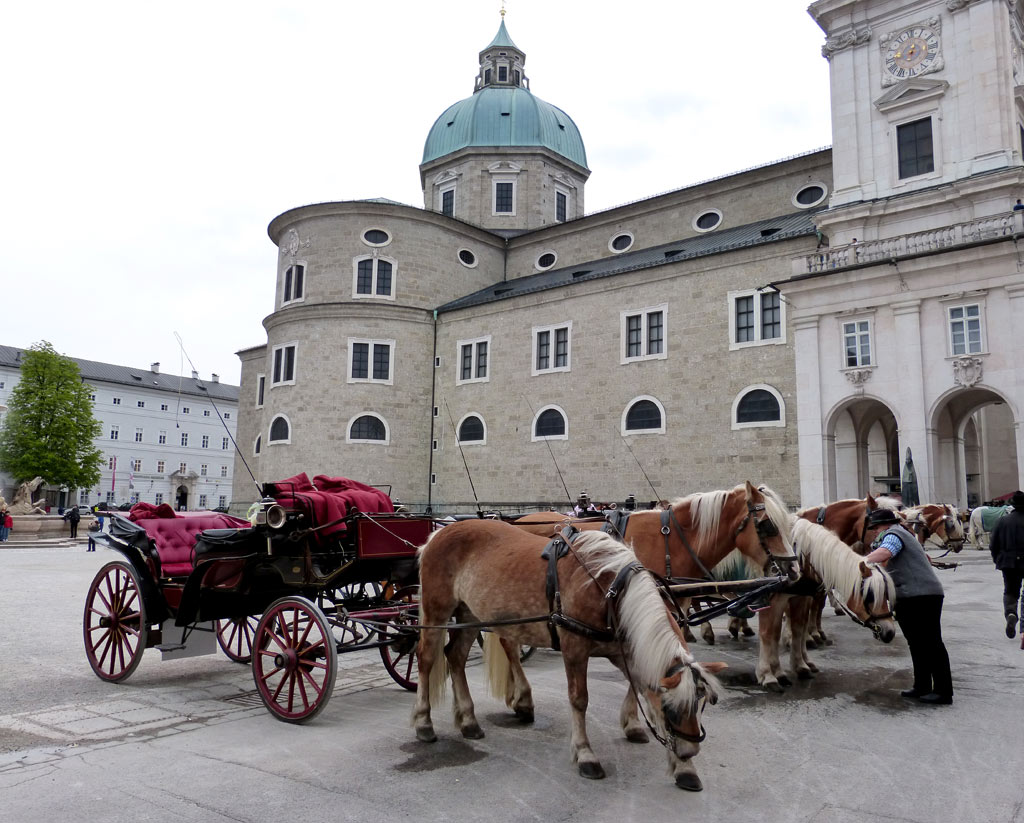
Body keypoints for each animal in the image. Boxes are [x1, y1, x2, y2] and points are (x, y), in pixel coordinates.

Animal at [411, 520, 724, 790]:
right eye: (672, 710)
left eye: (700, 705)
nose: (689, 751)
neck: (610, 588)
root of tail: (437, 534)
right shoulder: (574, 647)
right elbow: (579, 700)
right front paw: (585, 754)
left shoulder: (623, 652)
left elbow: (642, 691)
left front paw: (682, 768)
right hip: (437, 612)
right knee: (426, 658)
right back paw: (424, 722)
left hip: (470, 614)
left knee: (455, 656)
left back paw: (468, 720)